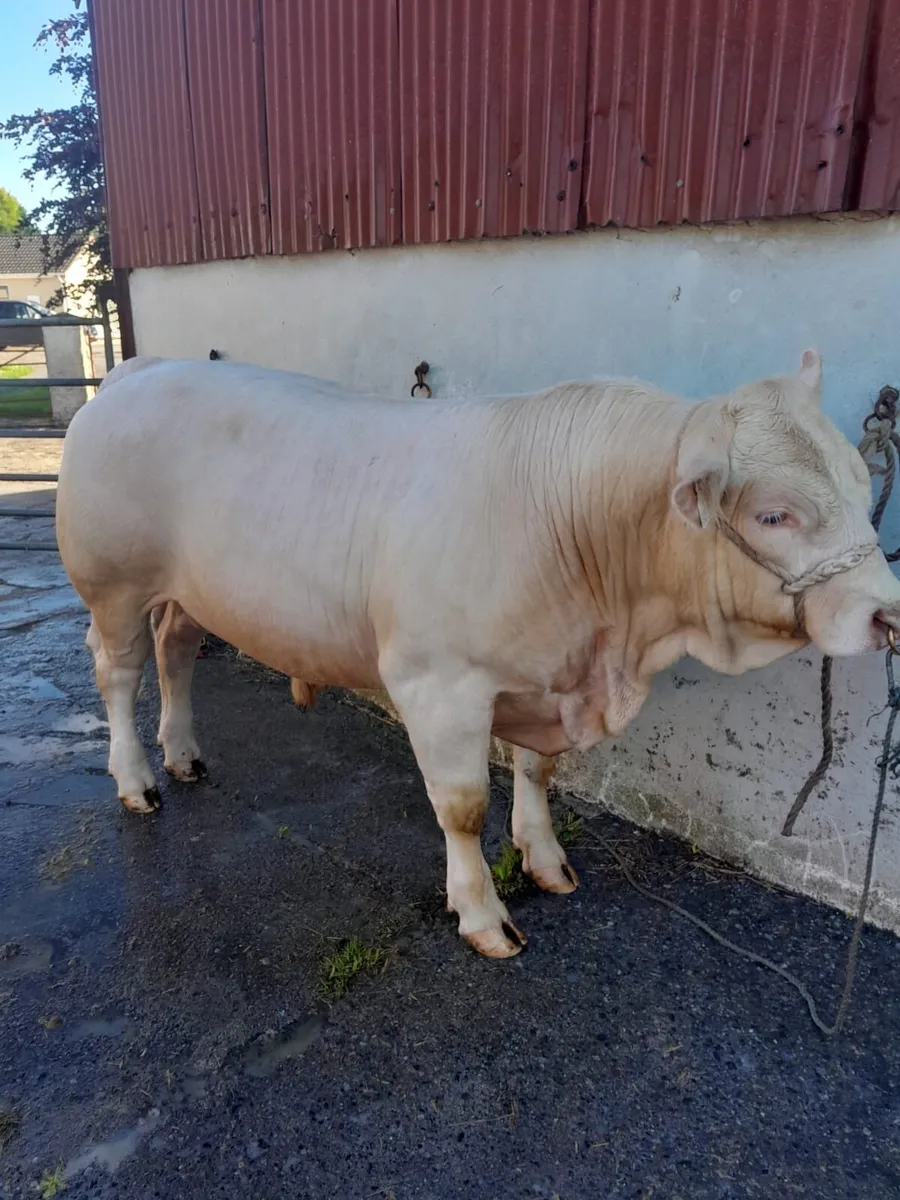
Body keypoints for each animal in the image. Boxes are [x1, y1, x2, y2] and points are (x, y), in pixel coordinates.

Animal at [56, 351, 900, 958]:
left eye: (863, 487)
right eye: (773, 514)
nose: (886, 613)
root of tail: (142, 368)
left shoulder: (546, 676)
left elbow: (537, 770)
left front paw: (545, 858)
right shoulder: (439, 684)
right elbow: (461, 808)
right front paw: (483, 914)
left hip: (188, 592)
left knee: (175, 652)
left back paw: (184, 753)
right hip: (113, 584)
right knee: (118, 672)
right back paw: (137, 779)